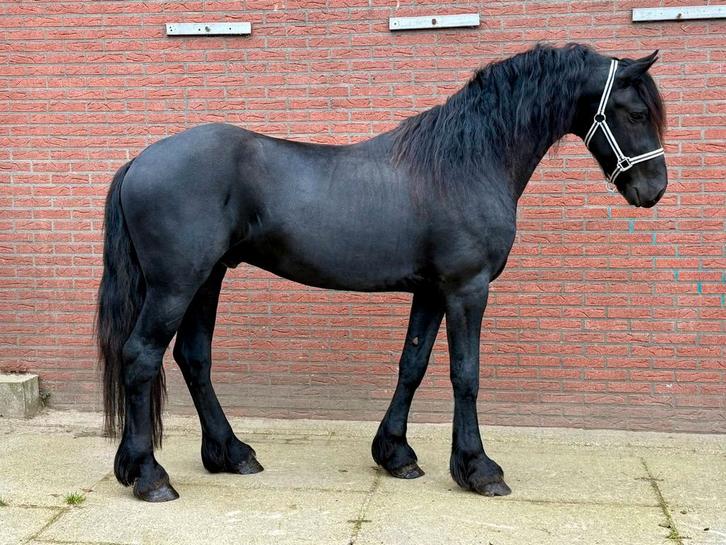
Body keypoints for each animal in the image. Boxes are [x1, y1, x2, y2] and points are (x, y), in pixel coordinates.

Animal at [96, 43, 667, 502]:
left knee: (193, 359)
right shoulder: (467, 289)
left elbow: (412, 365)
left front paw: (396, 454)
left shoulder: (432, 292)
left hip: (208, 278)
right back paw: (149, 476)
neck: (466, 161)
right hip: (177, 284)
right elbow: (466, 374)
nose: (654, 189)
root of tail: (138, 162)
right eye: (637, 112)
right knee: (141, 356)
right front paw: (478, 469)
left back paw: (229, 454)